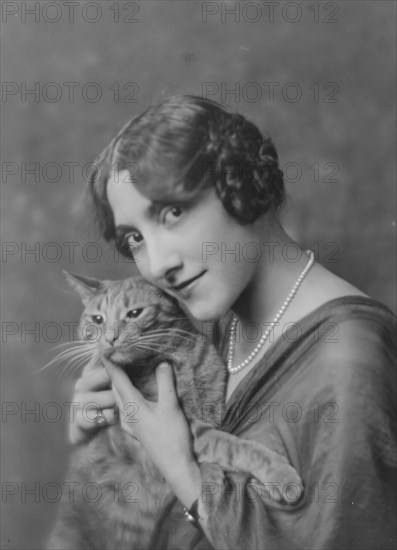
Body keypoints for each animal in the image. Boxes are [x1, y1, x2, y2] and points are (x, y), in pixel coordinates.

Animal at [46, 274, 300, 548]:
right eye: (97, 319)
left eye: (134, 313)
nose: (110, 338)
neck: (176, 357)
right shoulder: (191, 430)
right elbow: (232, 446)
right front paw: (281, 475)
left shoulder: (209, 414)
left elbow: (224, 449)